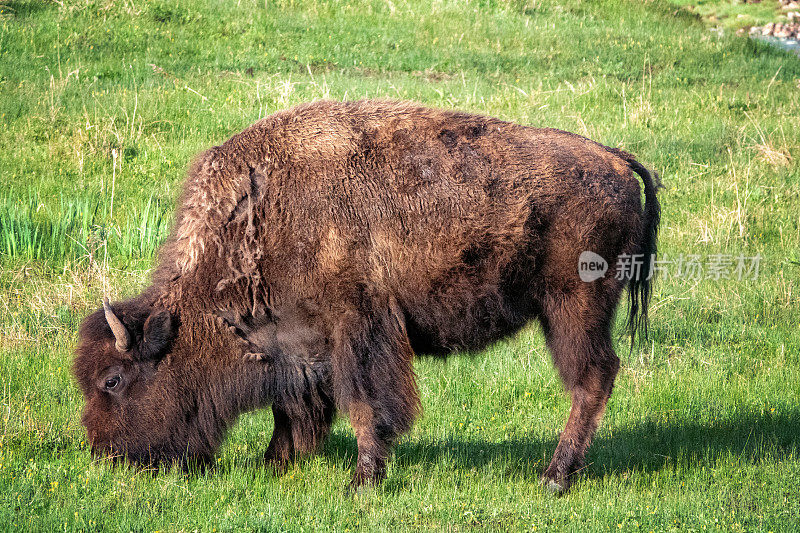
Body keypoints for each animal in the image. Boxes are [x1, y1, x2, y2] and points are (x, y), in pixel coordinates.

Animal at [72, 98, 660, 490]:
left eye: (113, 379)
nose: (107, 457)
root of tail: (614, 160)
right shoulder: (301, 347)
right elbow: (295, 408)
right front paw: (275, 463)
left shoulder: (356, 331)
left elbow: (363, 404)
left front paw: (361, 480)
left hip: (572, 309)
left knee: (591, 378)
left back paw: (554, 477)